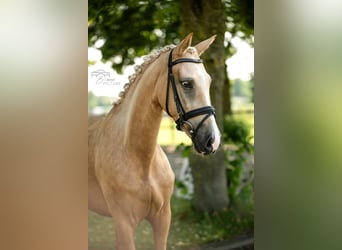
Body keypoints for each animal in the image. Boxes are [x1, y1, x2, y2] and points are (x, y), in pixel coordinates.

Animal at [88, 33, 220, 250]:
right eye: (186, 83)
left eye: (208, 82)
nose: (212, 141)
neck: (139, 158)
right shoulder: (124, 223)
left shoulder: (162, 219)